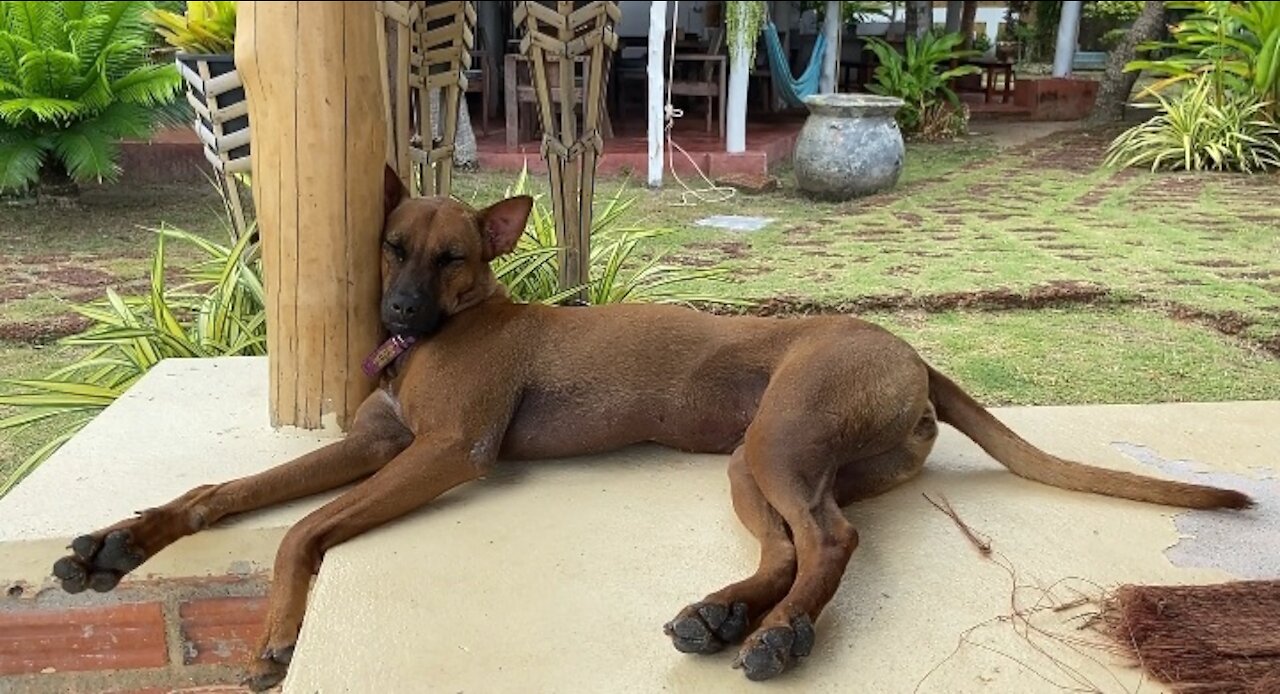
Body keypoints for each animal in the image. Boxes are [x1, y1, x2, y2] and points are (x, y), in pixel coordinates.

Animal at [52, 169, 1249, 691]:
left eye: (453, 258)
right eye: (391, 245)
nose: (391, 318)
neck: (458, 323)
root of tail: (915, 357)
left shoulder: (441, 455)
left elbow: (301, 530)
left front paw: (276, 636)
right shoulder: (381, 441)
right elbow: (221, 494)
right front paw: (118, 540)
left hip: (780, 442)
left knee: (829, 543)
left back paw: (778, 636)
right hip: (757, 463)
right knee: (792, 545)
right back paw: (723, 614)